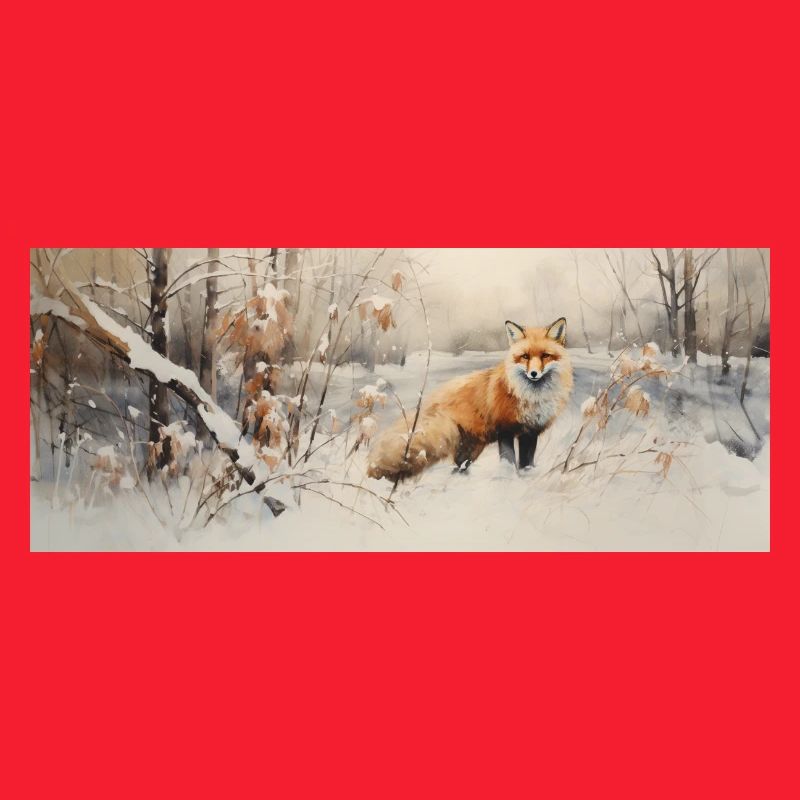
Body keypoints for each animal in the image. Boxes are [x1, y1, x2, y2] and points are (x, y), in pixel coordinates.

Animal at [367, 317, 573, 481]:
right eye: (525, 356)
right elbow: (508, 461)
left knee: (458, 467)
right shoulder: (505, 430)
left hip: (470, 449)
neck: (531, 398)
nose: (533, 374)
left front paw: (527, 476)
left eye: (545, 356)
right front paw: (508, 478)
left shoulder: (530, 432)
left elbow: (527, 462)